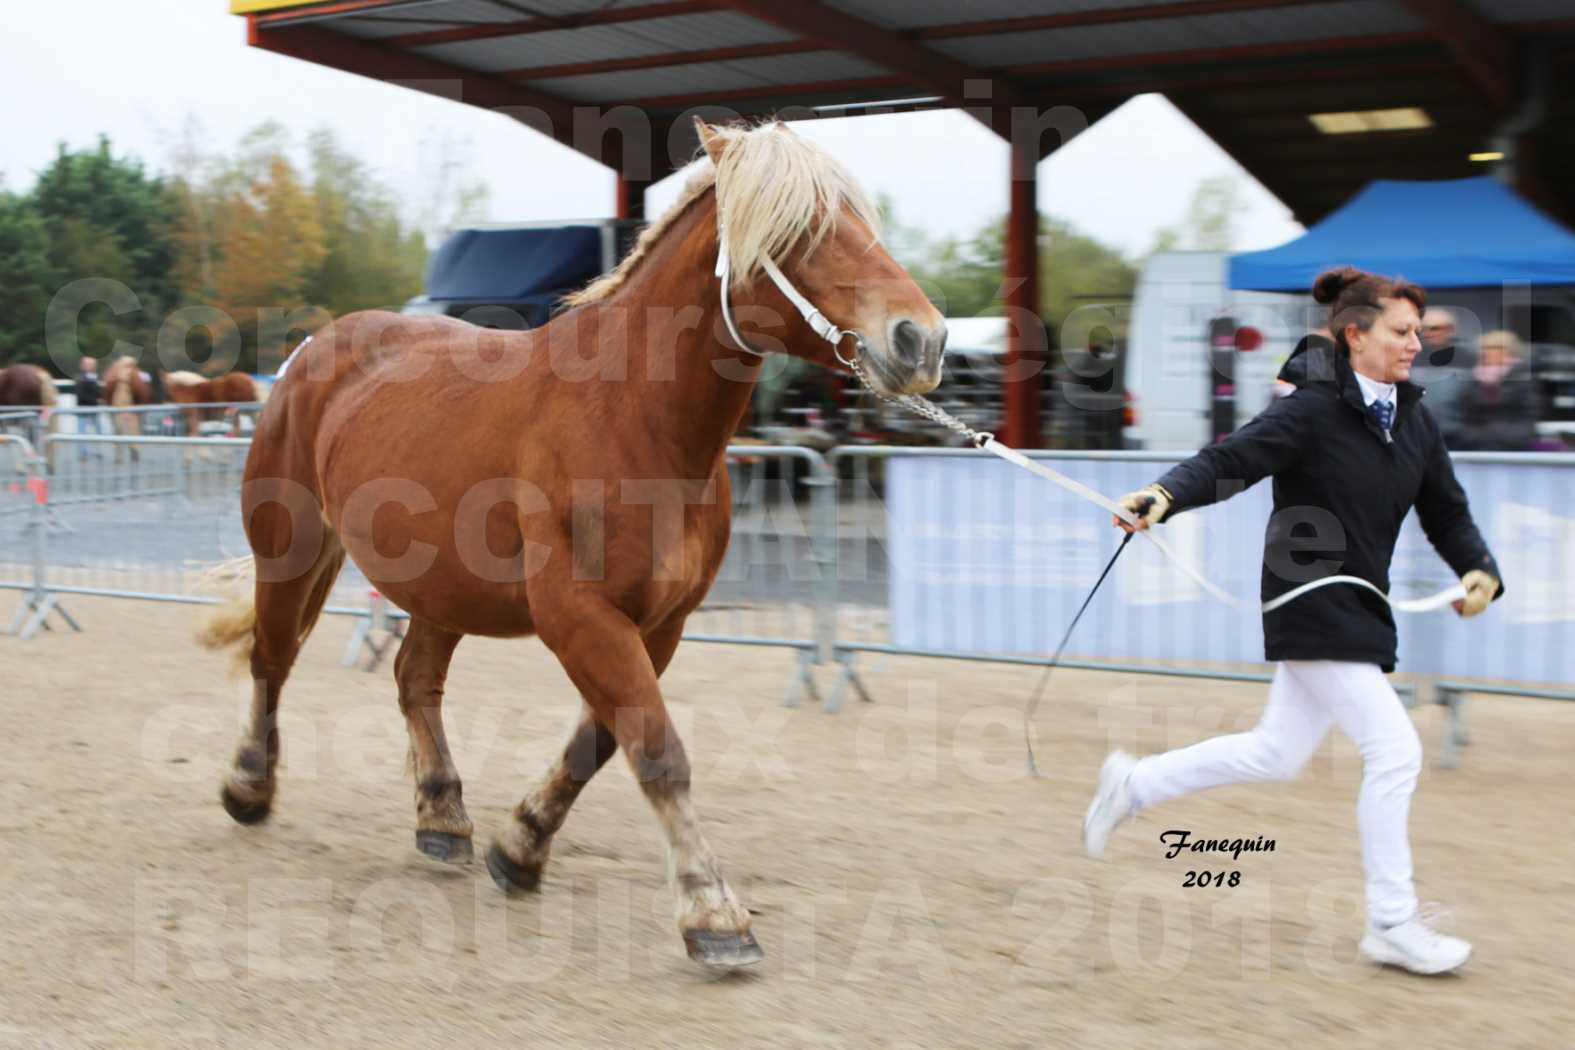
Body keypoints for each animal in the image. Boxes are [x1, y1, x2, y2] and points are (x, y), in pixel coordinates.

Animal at [192, 118, 938, 963]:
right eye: (799, 229)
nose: (921, 340)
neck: (632, 418)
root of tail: (313, 351)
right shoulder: (579, 616)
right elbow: (657, 750)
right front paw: (712, 913)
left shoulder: (659, 624)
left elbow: (601, 744)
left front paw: (521, 848)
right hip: (288, 552)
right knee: (271, 661)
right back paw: (249, 787)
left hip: (441, 588)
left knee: (415, 680)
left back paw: (442, 817)